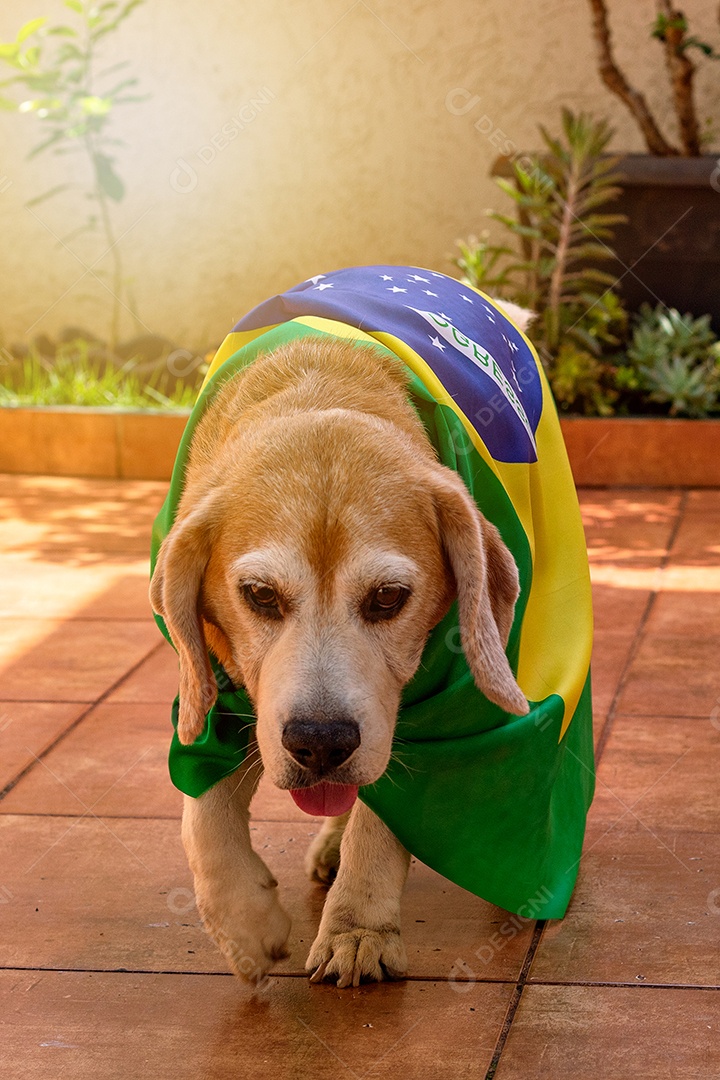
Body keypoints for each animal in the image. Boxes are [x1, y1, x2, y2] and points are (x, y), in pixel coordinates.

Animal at [148, 267, 595, 989]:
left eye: (388, 598)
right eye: (259, 595)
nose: (320, 742)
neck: (320, 390)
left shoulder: (433, 711)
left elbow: (386, 822)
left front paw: (358, 927)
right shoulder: (213, 686)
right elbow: (202, 814)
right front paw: (244, 921)